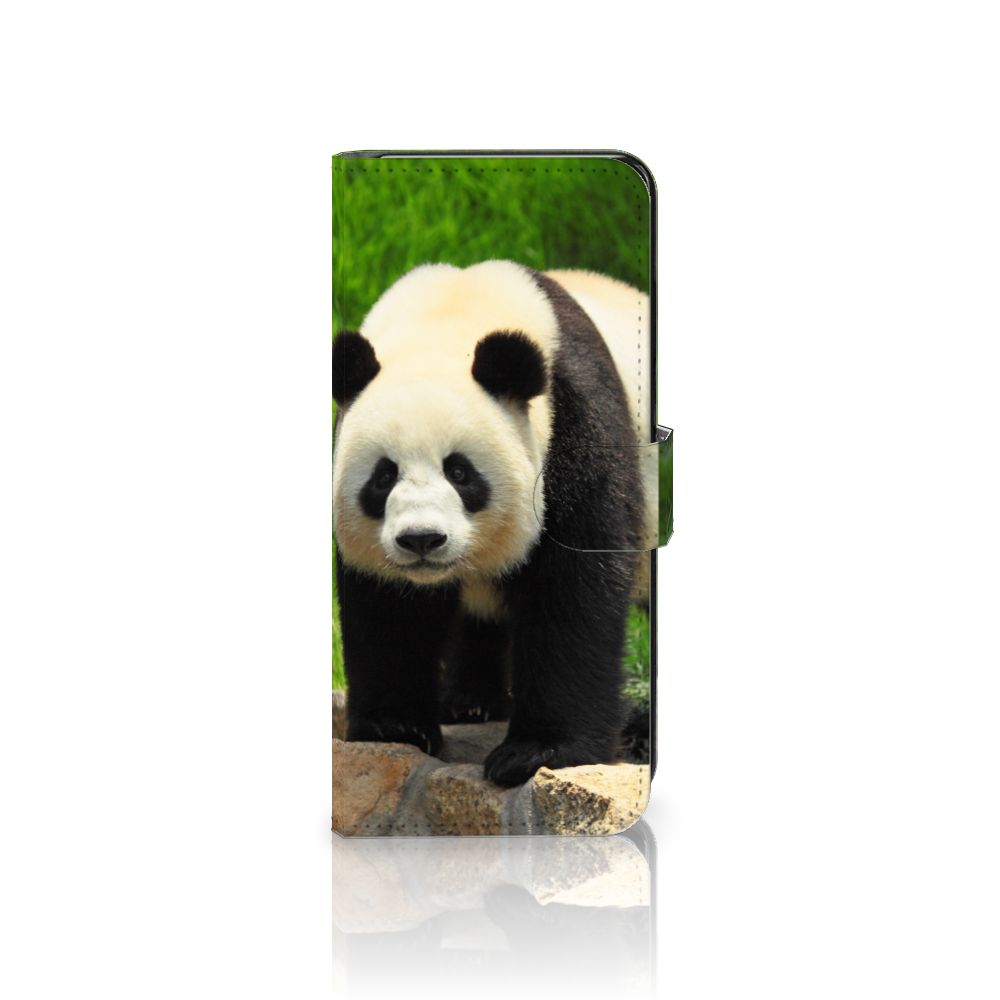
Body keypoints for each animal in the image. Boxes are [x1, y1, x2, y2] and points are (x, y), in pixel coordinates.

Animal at [333, 260, 653, 787]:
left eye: (460, 472)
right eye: (383, 476)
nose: (422, 540)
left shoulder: (574, 423)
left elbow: (573, 586)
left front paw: (537, 751)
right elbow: (388, 606)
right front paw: (394, 727)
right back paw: (470, 702)